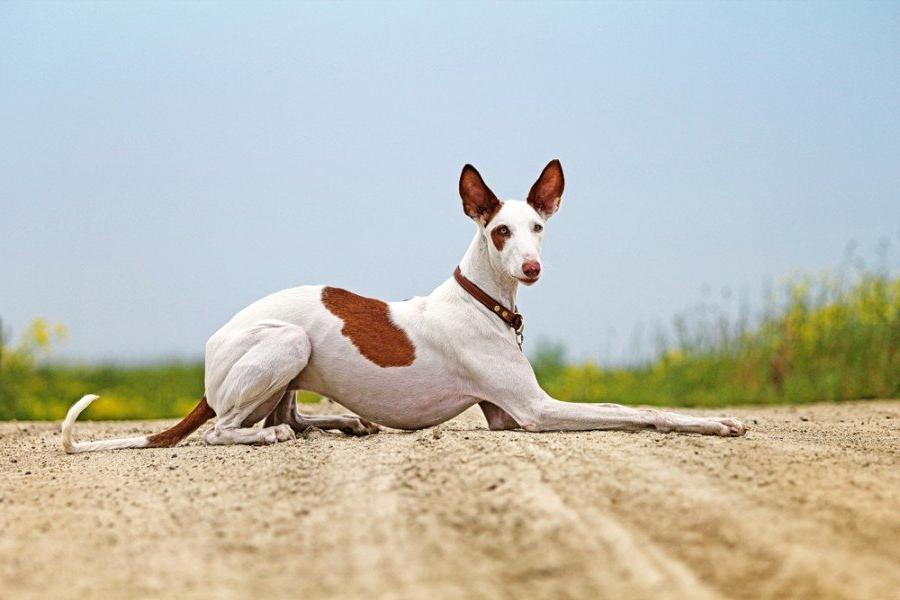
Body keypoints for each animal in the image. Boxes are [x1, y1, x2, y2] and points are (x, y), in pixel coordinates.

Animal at [61, 162, 744, 452]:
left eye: (538, 228)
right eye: (500, 231)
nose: (532, 268)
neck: (482, 302)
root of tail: (210, 354)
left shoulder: (504, 416)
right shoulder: (532, 411)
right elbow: (638, 411)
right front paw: (718, 423)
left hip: (291, 368)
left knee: (295, 417)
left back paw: (342, 422)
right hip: (287, 343)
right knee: (225, 430)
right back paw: (272, 434)